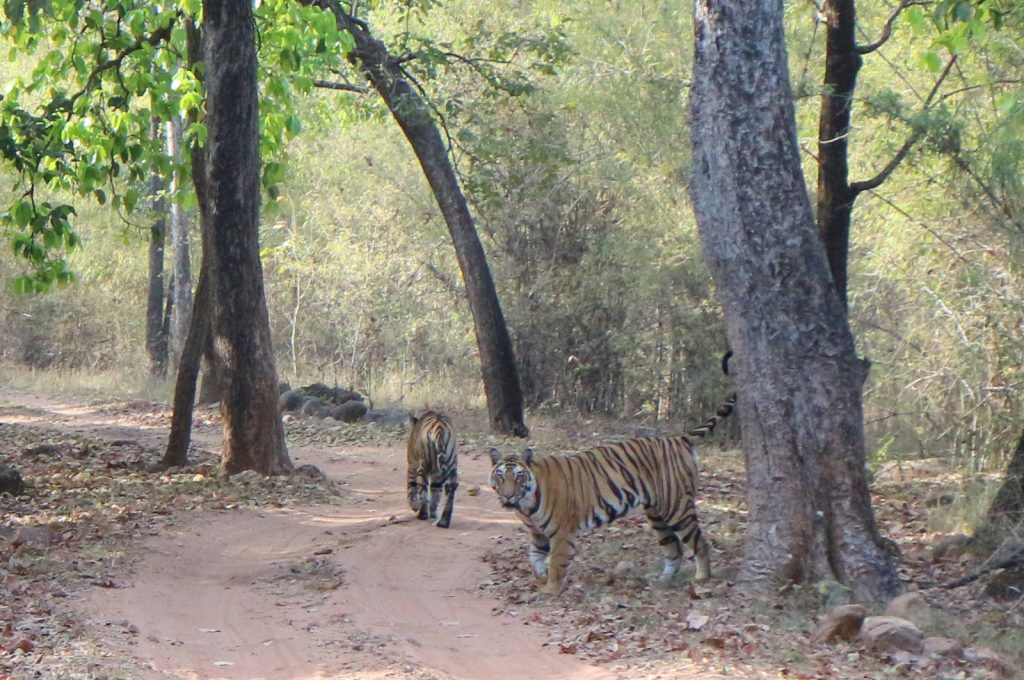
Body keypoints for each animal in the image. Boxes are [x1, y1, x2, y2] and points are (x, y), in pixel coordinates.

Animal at [485, 393, 733, 593]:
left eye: (518, 476)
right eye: (500, 476)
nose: (508, 496)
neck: (526, 506)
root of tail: (678, 438)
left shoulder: (562, 533)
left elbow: (556, 562)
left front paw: (550, 590)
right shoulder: (538, 534)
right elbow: (535, 559)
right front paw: (541, 578)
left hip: (677, 507)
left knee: (699, 542)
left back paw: (702, 578)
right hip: (657, 515)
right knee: (674, 549)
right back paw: (662, 581)